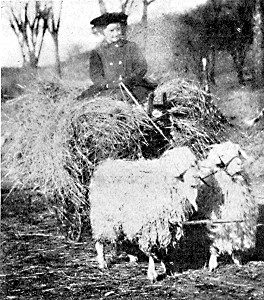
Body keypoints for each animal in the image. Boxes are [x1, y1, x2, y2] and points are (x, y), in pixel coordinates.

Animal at [89, 146, 199, 282]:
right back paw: (102, 262)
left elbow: (163, 249)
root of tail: (103, 166)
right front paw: (152, 274)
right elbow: (152, 251)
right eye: (185, 168)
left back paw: (132, 257)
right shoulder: (151, 227)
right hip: (104, 217)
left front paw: (167, 267)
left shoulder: (166, 227)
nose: (197, 178)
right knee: (99, 242)